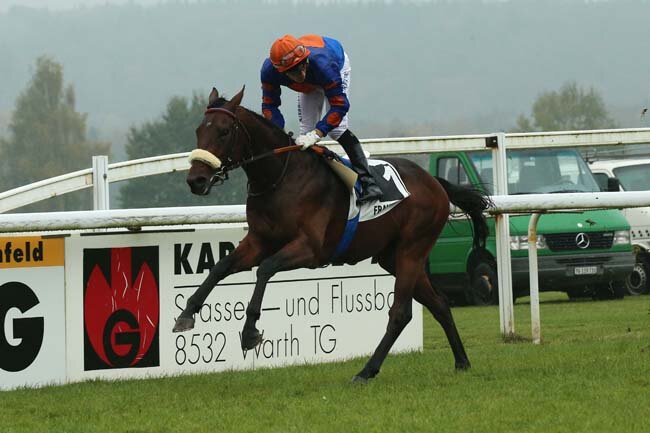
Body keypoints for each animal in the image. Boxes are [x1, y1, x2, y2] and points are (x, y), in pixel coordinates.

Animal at [173, 86, 492, 383]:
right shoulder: (259, 240)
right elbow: (220, 266)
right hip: (392, 256)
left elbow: (265, 269)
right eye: (199, 130)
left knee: (400, 313)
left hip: (412, 250)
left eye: (224, 131)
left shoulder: (310, 249)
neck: (280, 177)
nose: (196, 180)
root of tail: (435, 182)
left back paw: (366, 371)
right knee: (439, 303)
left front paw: (250, 331)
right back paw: (461, 361)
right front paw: (186, 314)